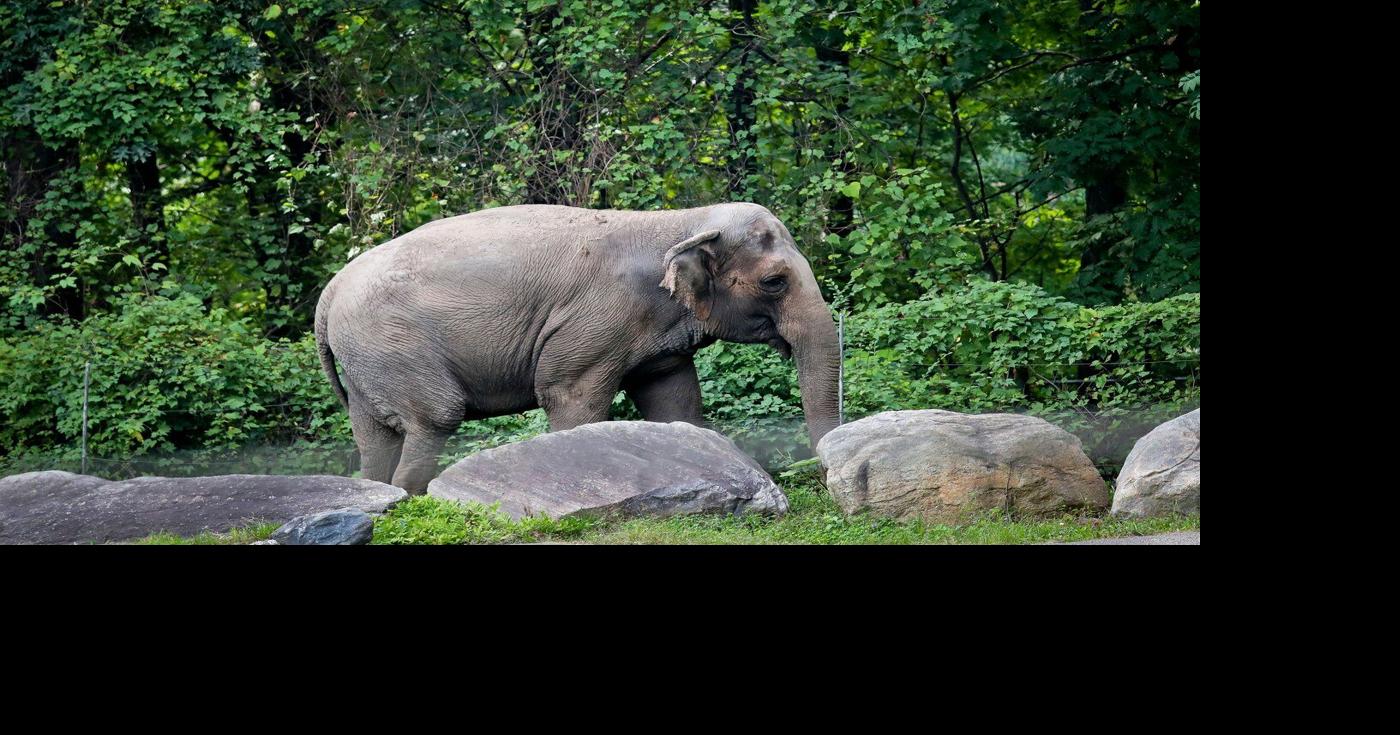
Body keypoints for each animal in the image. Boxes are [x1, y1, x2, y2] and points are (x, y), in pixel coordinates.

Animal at [314, 202, 840, 493]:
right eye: (774, 282)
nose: (818, 474)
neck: (681, 221)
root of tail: (328, 294)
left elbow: (674, 400)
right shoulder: (595, 322)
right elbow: (569, 396)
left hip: (367, 360)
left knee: (374, 435)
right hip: (393, 345)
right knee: (434, 417)